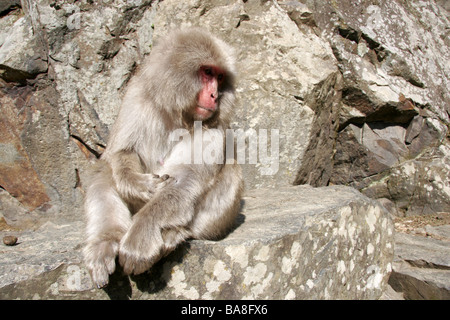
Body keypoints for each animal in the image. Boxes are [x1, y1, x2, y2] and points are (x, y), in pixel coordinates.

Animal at [81, 28, 243, 288]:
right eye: (208, 72)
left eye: (220, 78)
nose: (214, 95)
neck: (178, 114)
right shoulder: (136, 96)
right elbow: (122, 152)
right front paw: (139, 184)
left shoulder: (212, 128)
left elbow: (184, 179)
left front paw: (139, 242)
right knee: (103, 175)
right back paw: (105, 242)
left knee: (230, 172)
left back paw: (173, 234)